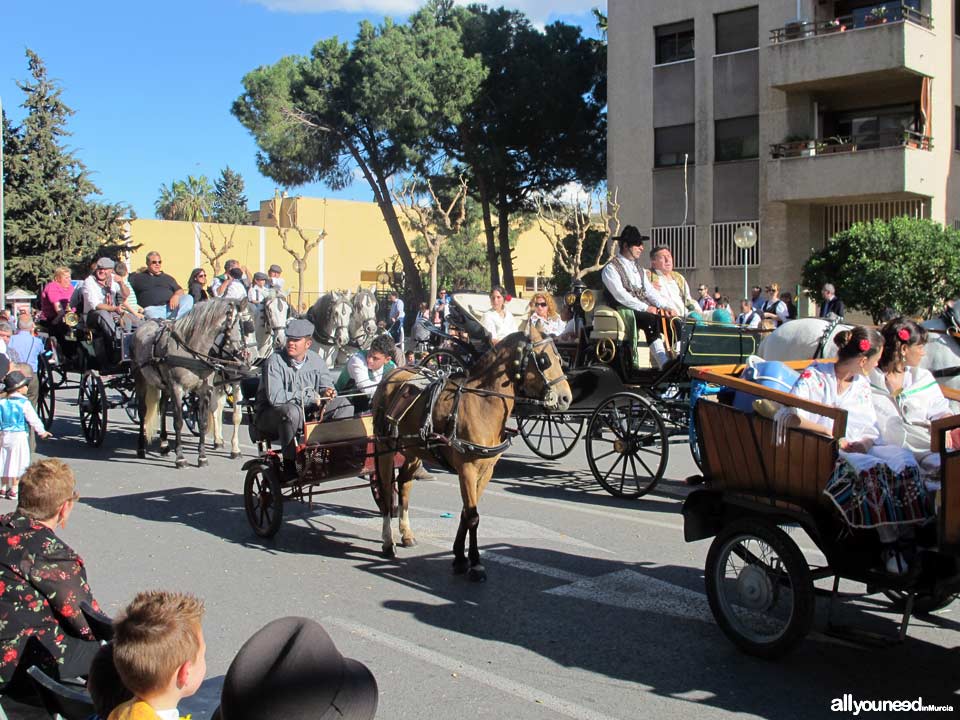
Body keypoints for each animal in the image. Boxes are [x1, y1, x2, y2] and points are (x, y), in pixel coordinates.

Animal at [132, 296, 249, 466]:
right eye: (235, 325)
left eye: (247, 325)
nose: (243, 356)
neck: (191, 350)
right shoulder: (177, 388)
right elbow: (178, 422)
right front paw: (180, 457)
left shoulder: (205, 389)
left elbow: (203, 422)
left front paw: (202, 457)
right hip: (140, 379)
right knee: (142, 411)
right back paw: (141, 447)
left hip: (164, 385)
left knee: (162, 408)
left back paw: (164, 445)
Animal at [374, 324, 568, 584]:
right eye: (544, 359)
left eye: (560, 358)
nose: (566, 397)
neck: (482, 403)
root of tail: (393, 373)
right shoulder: (467, 469)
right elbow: (473, 516)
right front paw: (475, 563)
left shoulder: (486, 471)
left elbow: (468, 513)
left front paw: (460, 557)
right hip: (385, 447)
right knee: (386, 491)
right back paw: (387, 541)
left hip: (414, 450)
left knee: (404, 485)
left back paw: (406, 534)